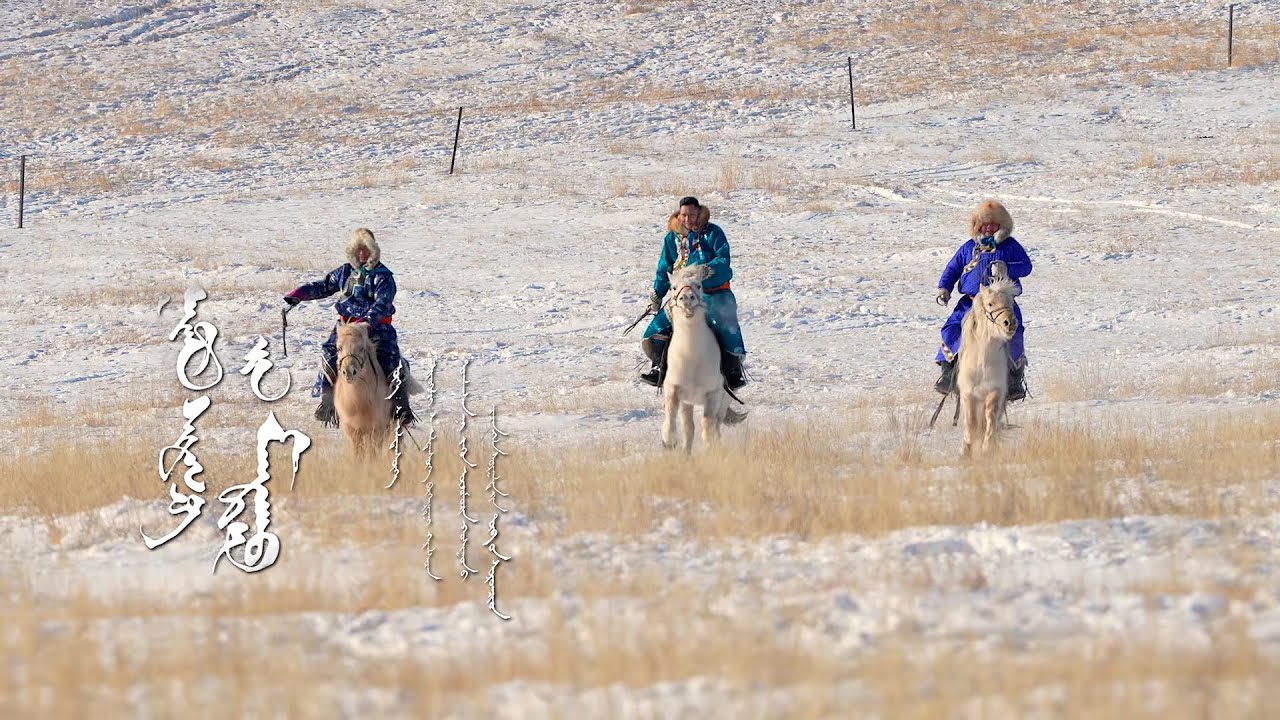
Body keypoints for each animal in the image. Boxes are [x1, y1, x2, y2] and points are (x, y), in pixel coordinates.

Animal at [333, 319, 393, 459]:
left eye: (361, 348)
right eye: (339, 348)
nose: (349, 372)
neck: (358, 403)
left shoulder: (377, 428)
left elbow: (372, 452)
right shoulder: (352, 430)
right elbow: (357, 453)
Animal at [660, 264, 747, 453]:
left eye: (699, 285)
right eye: (674, 287)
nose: (686, 298)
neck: (691, 356)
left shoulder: (713, 394)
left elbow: (708, 425)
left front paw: (711, 449)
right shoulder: (673, 388)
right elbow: (671, 415)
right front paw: (669, 441)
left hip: (724, 401)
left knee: (716, 424)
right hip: (687, 403)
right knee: (688, 429)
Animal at [956, 262, 1019, 457]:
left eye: (1011, 302)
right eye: (990, 303)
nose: (1010, 323)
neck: (982, 363)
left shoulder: (995, 390)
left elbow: (990, 417)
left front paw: (987, 447)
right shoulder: (968, 394)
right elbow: (970, 422)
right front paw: (966, 450)